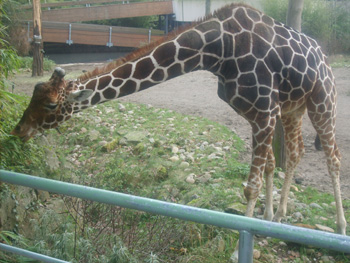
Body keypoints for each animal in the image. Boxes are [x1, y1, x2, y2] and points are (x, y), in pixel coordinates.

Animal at [11, 3, 348, 235]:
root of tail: (325, 56)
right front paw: (265, 221)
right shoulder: (259, 113)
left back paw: (340, 226)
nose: (18, 130)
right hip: (294, 108)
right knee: (296, 152)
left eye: (51, 105)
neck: (218, 51)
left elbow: (250, 186)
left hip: (322, 100)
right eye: (35, 94)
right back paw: (279, 217)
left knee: (333, 156)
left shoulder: (265, 111)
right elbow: (269, 166)